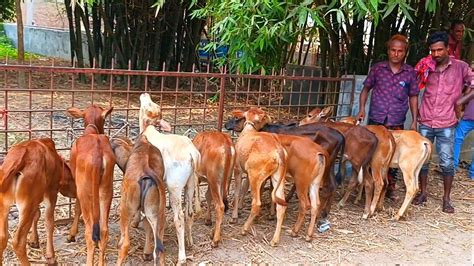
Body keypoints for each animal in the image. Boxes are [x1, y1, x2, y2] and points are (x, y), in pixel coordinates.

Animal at [66, 105, 115, 264]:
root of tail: (98, 155)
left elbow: (76, 208)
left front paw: (72, 234)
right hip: (106, 190)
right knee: (104, 230)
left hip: (85, 191)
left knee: (89, 231)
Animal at [231, 107, 286, 246]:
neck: (248, 130)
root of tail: (278, 151)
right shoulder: (247, 173)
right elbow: (244, 188)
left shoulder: (238, 169)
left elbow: (238, 191)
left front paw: (234, 216)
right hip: (278, 177)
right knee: (281, 206)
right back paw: (274, 240)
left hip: (255, 175)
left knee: (256, 204)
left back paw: (244, 229)